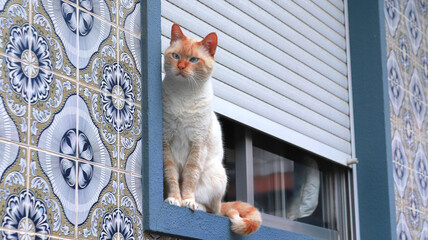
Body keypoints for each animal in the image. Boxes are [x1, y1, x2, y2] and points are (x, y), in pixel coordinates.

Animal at [160, 23, 260, 234]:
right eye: (176, 56)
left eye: (193, 60)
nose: (181, 67)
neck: (184, 96)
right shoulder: (166, 142)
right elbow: (171, 176)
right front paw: (174, 199)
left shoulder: (197, 145)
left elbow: (190, 177)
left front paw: (187, 201)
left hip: (217, 176)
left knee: (212, 210)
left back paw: (197, 205)